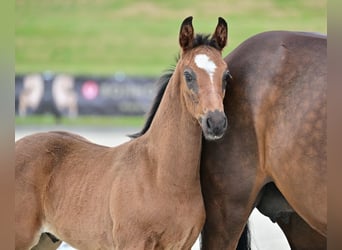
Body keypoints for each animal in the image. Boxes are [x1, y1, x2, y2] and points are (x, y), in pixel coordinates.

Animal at [15, 16, 230, 249]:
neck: (161, 175)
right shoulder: (132, 242)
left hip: (46, 239)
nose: (216, 122)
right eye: (188, 75)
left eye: (226, 75)